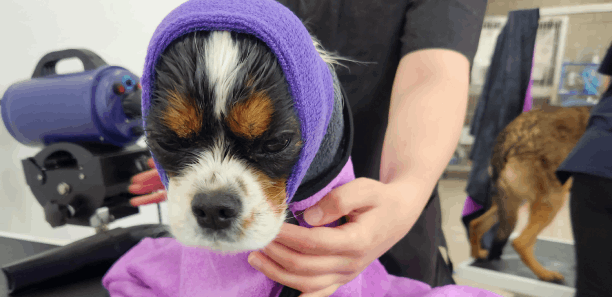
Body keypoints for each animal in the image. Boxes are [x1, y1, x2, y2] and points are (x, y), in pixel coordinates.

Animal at [468, 103, 592, 280]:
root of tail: (511, 135)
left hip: (510, 204)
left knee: (476, 223)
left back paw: (478, 254)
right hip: (552, 200)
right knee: (520, 242)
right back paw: (546, 274)